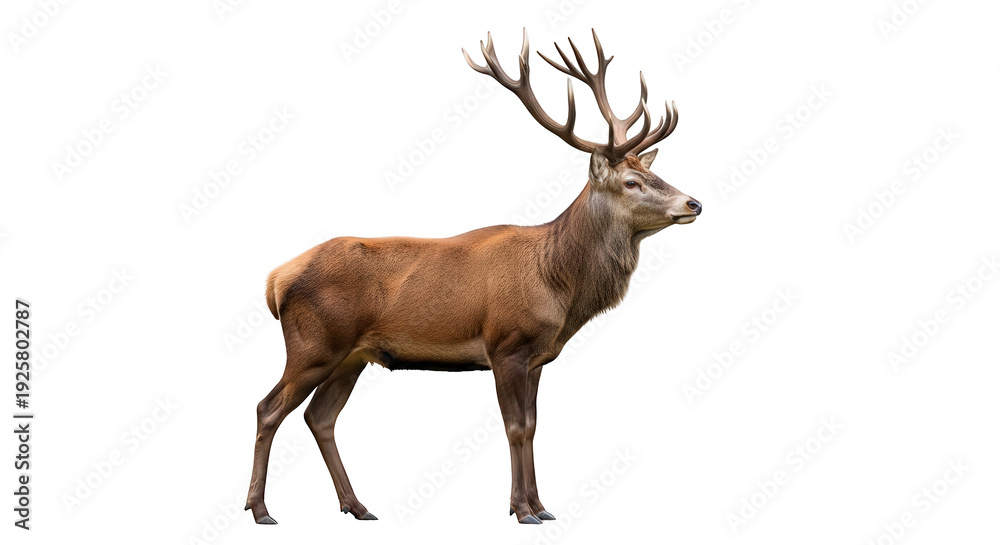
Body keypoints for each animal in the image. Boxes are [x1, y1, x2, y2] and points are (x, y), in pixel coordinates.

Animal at [245, 29, 701, 525]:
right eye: (631, 183)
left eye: (655, 173)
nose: (694, 203)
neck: (559, 287)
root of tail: (274, 280)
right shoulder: (506, 345)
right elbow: (516, 427)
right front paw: (522, 510)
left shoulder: (538, 357)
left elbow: (534, 426)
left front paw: (541, 506)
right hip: (314, 343)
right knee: (268, 407)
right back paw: (260, 509)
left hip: (352, 355)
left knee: (319, 417)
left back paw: (357, 506)